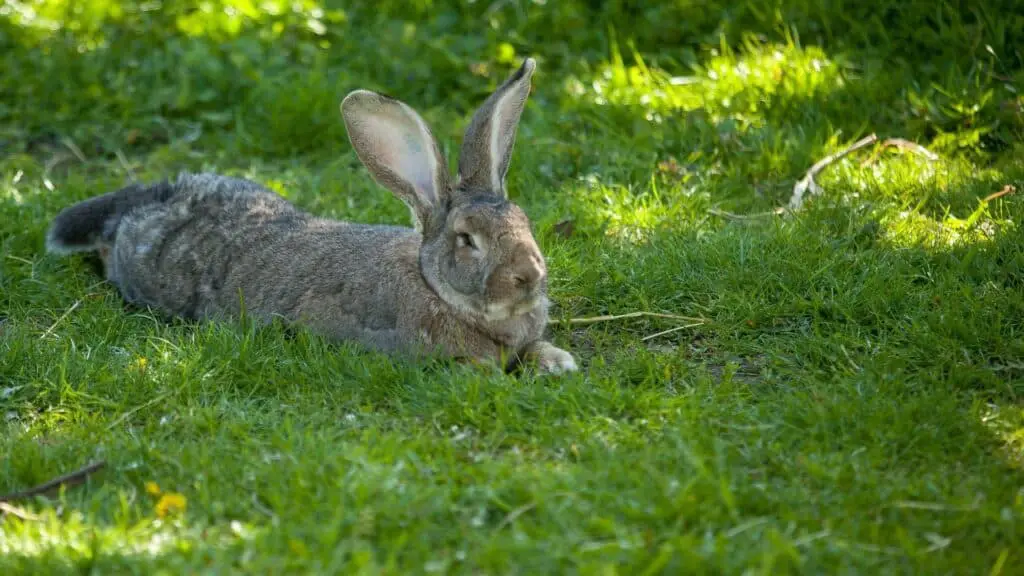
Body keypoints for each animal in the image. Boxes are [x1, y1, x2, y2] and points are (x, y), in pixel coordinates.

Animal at [46, 57, 577, 373]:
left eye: (524, 222)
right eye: (468, 239)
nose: (529, 277)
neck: (435, 286)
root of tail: (160, 197)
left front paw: (559, 361)